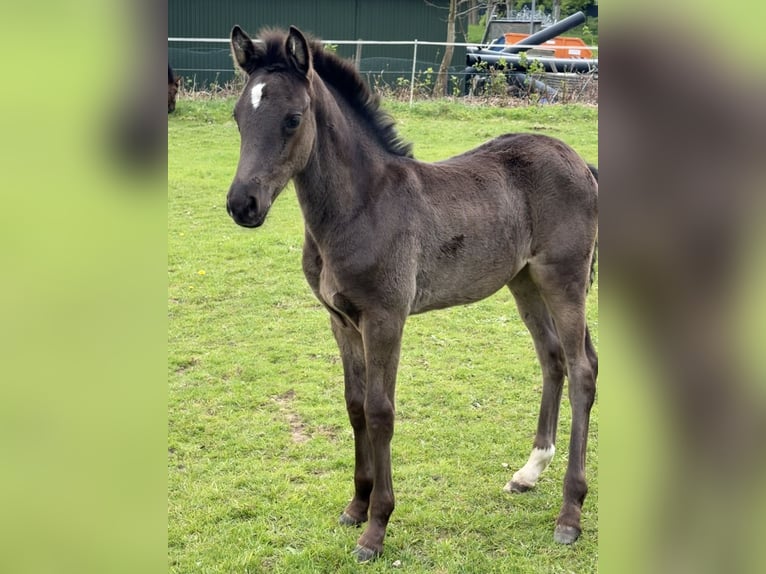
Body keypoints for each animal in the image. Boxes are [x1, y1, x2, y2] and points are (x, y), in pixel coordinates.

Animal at [226, 25, 598, 562]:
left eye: (293, 119)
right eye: (238, 117)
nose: (242, 205)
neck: (360, 206)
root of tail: (578, 160)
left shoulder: (385, 318)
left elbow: (381, 411)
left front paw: (376, 527)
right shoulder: (341, 320)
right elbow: (355, 405)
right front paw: (356, 506)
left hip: (564, 280)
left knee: (583, 370)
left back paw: (570, 514)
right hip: (524, 281)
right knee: (553, 359)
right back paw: (529, 473)